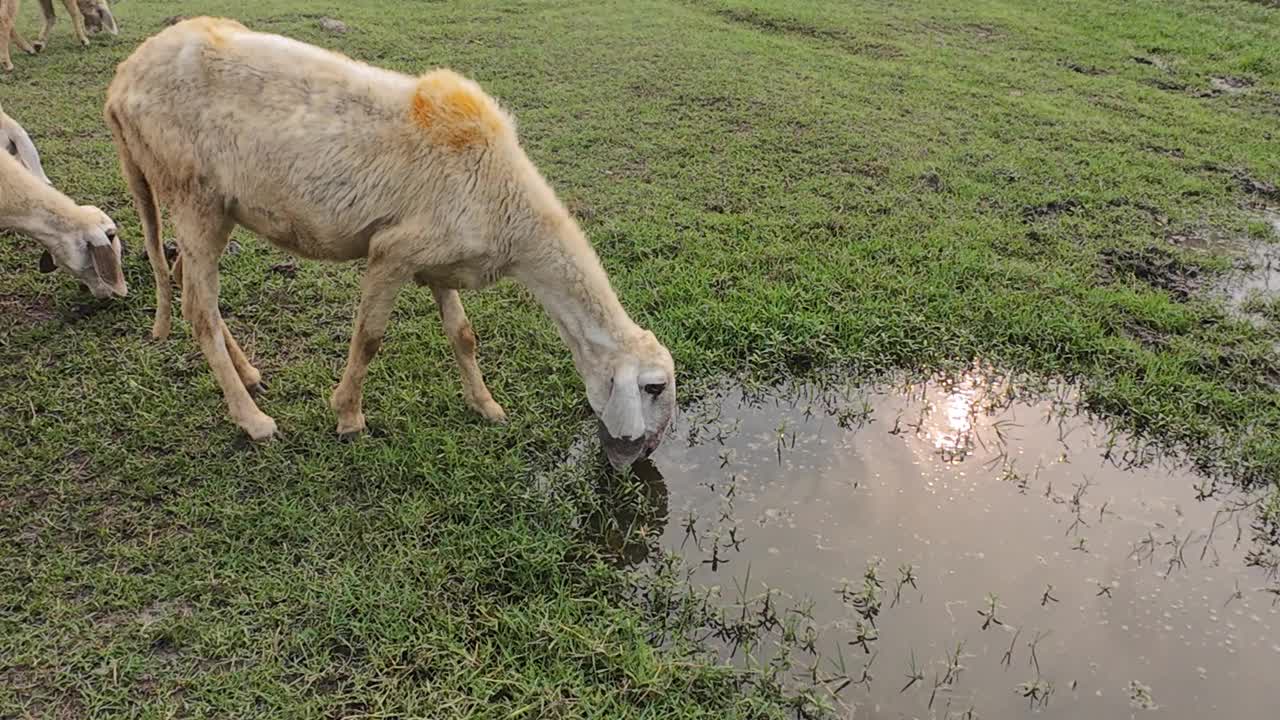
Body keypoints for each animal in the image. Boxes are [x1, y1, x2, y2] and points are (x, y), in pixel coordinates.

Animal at [107, 18, 680, 466]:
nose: (643, 456)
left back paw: (248, 374)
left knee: (188, 282)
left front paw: (487, 406)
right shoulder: (393, 252)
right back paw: (253, 420)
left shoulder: (438, 258)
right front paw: (348, 418)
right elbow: (369, 337)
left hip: (213, 208)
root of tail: (120, 81)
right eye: (654, 387)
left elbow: (463, 335)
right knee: (197, 309)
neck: (508, 209)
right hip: (191, 193)